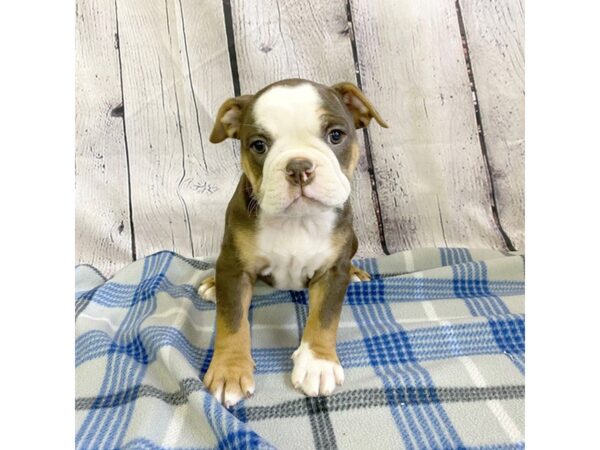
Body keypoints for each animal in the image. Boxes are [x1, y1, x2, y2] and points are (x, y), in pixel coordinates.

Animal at [199, 79, 386, 406]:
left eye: (335, 135)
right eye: (259, 145)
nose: (299, 167)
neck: (297, 221)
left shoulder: (332, 271)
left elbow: (324, 318)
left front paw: (318, 364)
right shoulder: (234, 267)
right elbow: (232, 321)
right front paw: (229, 370)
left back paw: (357, 274)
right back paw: (211, 283)